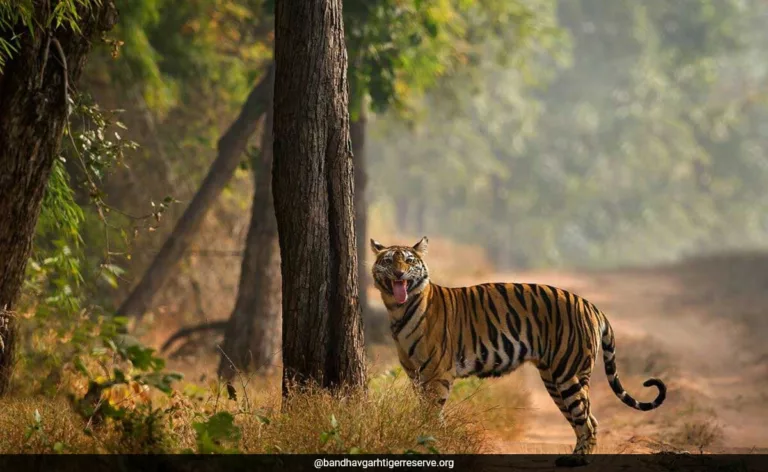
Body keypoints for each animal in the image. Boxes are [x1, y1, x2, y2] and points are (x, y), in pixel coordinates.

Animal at [370, 236, 666, 467]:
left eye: (409, 261)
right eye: (389, 261)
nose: (399, 274)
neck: (397, 311)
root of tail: (590, 305)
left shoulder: (437, 374)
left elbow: (432, 414)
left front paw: (432, 443)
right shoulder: (415, 375)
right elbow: (423, 411)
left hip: (568, 374)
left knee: (588, 421)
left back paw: (577, 460)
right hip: (553, 379)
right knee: (586, 417)